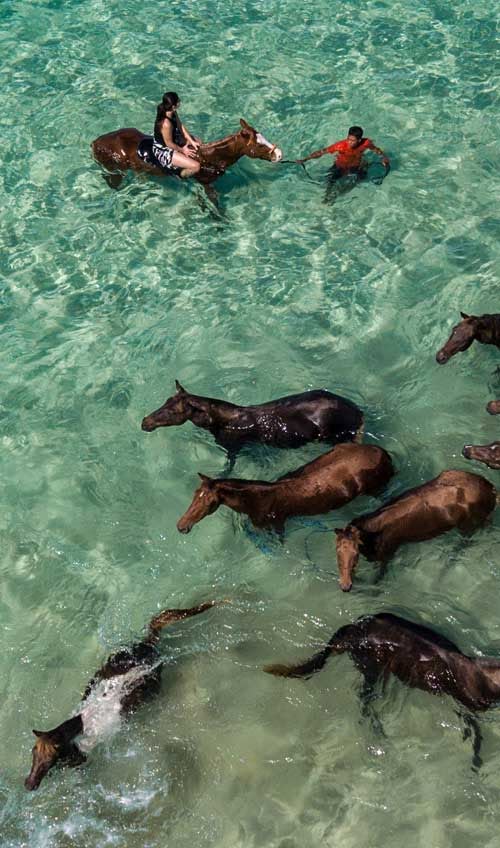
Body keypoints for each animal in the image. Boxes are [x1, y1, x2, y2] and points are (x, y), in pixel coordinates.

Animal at [91, 119, 283, 189]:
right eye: (259, 145)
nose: (279, 155)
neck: (210, 158)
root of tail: (95, 142)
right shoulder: (205, 184)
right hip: (113, 167)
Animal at [176, 443, 394, 536]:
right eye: (194, 496)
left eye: (208, 502)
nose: (181, 526)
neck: (256, 500)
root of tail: (386, 455)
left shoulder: (274, 524)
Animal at [264, 611, 500, 768]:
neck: (481, 677)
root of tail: (353, 629)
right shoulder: (466, 699)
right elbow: (474, 727)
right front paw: (476, 755)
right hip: (371, 665)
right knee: (364, 698)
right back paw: (376, 727)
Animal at [333, 470, 496, 591]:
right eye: (337, 551)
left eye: (355, 553)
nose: (345, 586)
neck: (374, 534)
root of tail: (492, 490)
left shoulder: (387, 556)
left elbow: (376, 582)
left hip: (468, 526)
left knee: (462, 546)